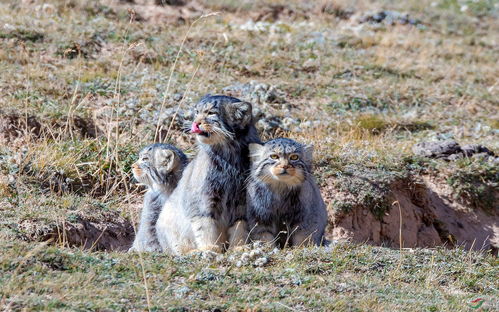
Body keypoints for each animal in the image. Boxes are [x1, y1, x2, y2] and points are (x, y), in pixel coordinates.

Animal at [156, 94, 262, 254]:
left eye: (211, 113)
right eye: (197, 112)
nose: (195, 123)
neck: (229, 159)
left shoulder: (242, 201)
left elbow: (240, 226)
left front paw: (239, 247)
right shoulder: (204, 197)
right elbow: (205, 224)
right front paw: (209, 248)